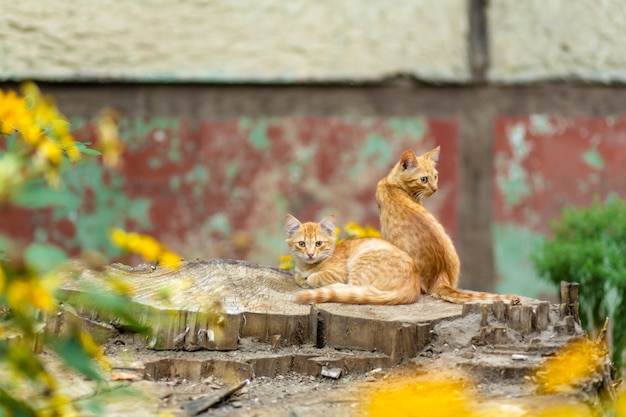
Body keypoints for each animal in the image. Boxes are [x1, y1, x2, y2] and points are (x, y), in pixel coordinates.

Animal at [282, 213, 420, 304]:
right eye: (301, 244)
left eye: (318, 243)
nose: (310, 254)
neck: (306, 266)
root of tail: (412, 286)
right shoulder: (298, 270)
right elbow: (297, 275)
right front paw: (302, 280)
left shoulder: (339, 272)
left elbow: (313, 277)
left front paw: (309, 280)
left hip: (362, 262)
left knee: (354, 288)